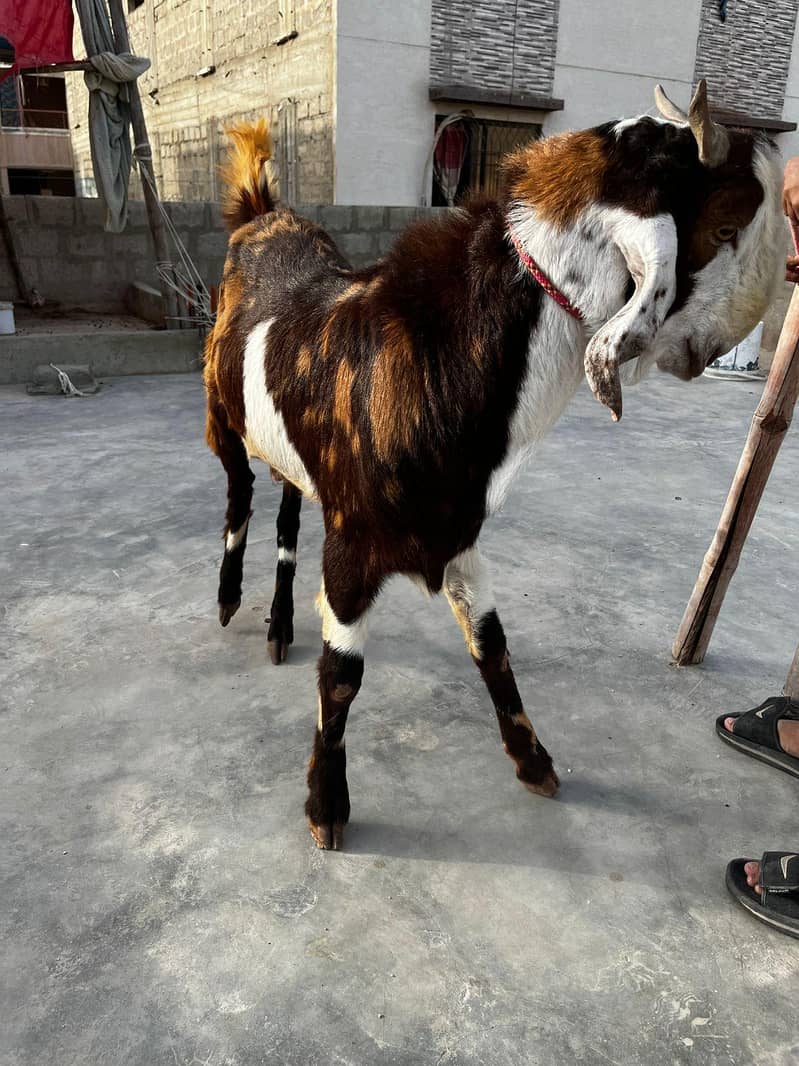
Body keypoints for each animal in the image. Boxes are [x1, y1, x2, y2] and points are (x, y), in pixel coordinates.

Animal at [203, 84, 784, 849]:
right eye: (722, 224)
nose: (707, 353)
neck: (432, 362)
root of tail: (261, 212)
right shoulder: (354, 545)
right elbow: (342, 676)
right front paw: (326, 809)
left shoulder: (458, 539)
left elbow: (492, 645)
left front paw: (534, 763)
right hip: (220, 414)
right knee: (239, 493)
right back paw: (230, 599)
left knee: (287, 508)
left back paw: (277, 624)